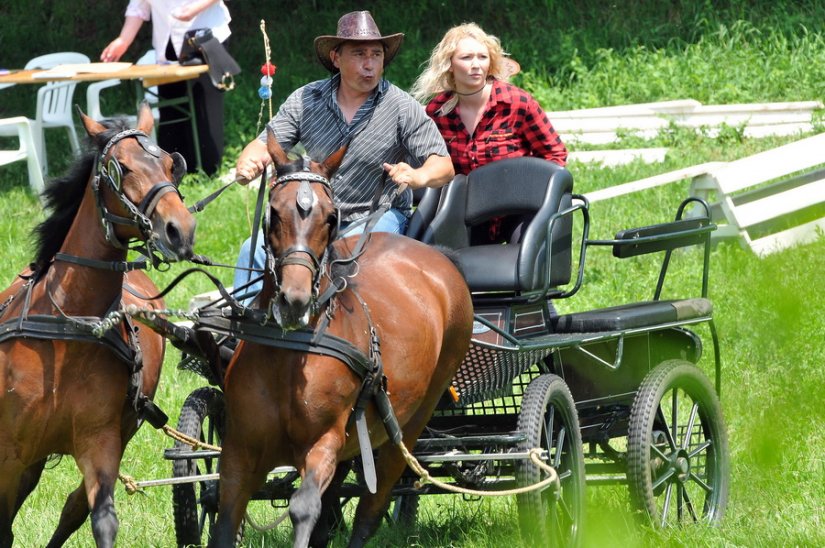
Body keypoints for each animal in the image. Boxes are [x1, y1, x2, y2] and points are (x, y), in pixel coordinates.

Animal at [0, 104, 196, 548]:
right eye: (119, 168)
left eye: (169, 164)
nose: (180, 229)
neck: (69, 326)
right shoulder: (10, 450)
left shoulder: (101, 442)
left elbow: (100, 518)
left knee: (73, 507)